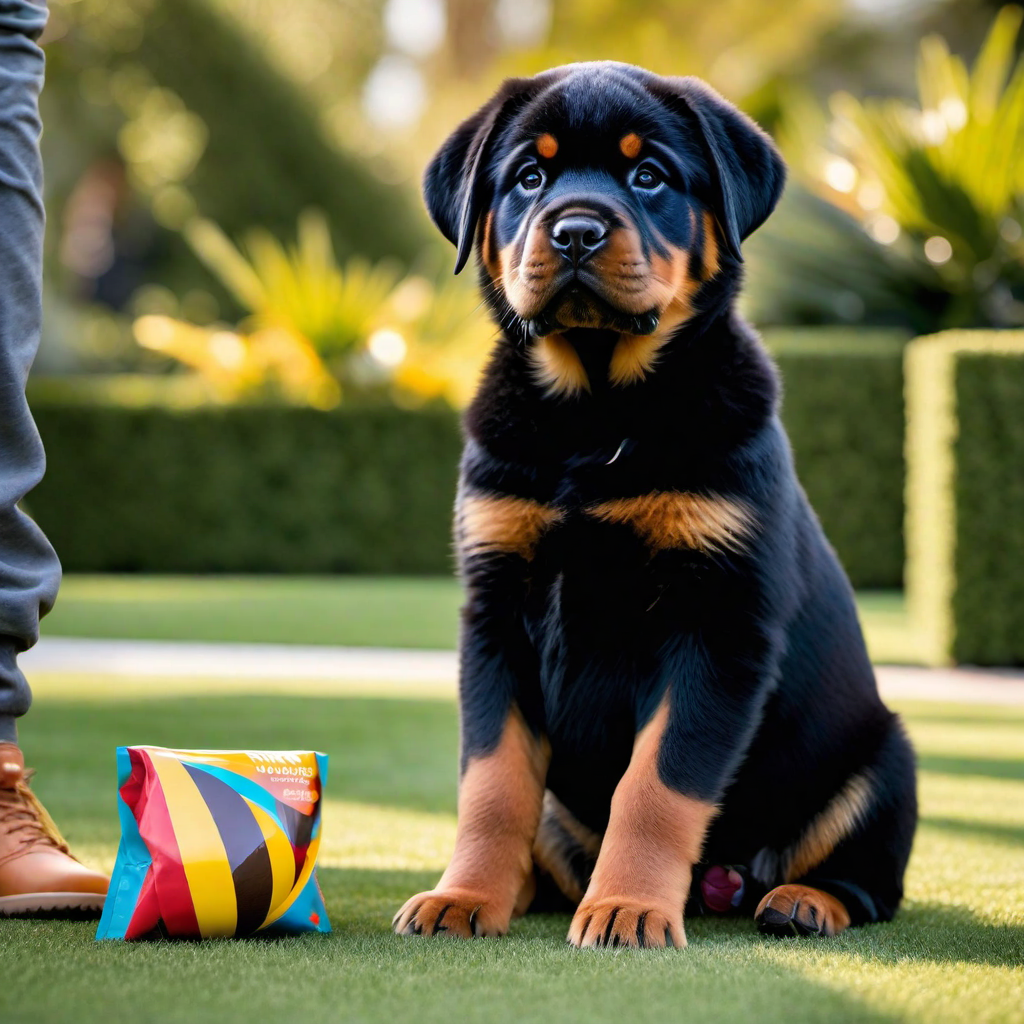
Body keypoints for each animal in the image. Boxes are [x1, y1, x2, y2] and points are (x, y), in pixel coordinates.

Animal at [393, 59, 921, 946]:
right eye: (528, 177)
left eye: (649, 177)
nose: (575, 230)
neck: (596, 415)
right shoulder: (495, 614)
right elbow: (492, 783)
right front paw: (464, 896)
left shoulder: (718, 623)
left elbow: (658, 784)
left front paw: (631, 908)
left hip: (885, 758)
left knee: (870, 877)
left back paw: (807, 900)